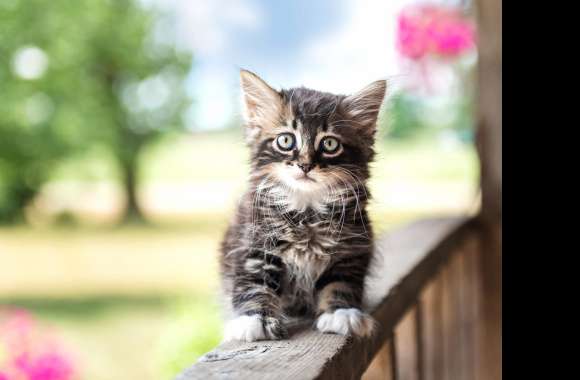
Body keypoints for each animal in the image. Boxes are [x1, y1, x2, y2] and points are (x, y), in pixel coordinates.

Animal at [220, 70, 388, 342]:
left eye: (329, 144)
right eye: (286, 140)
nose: (305, 165)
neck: (306, 212)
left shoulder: (352, 251)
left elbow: (340, 283)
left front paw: (341, 313)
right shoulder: (252, 246)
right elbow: (255, 283)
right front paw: (255, 319)